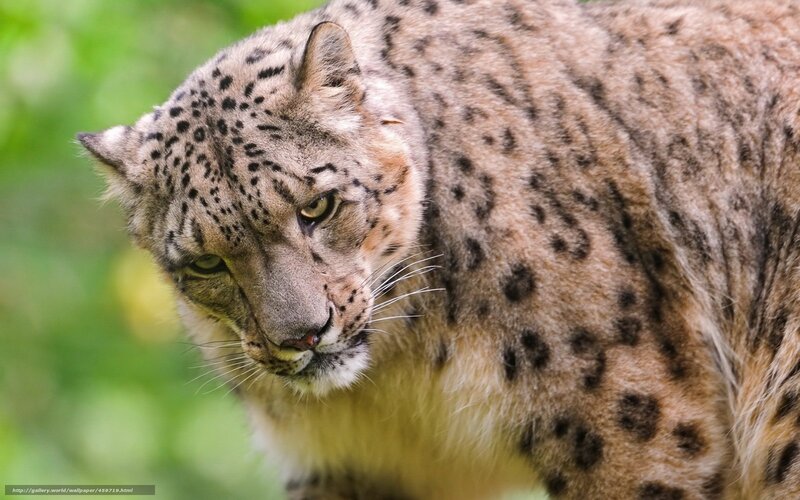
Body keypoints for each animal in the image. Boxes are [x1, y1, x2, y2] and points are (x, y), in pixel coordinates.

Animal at [78, 0, 800, 498]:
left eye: (317, 207)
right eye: (206, 261)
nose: (302, 336)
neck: (401, 379)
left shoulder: (624, 422)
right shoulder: (347, 464)